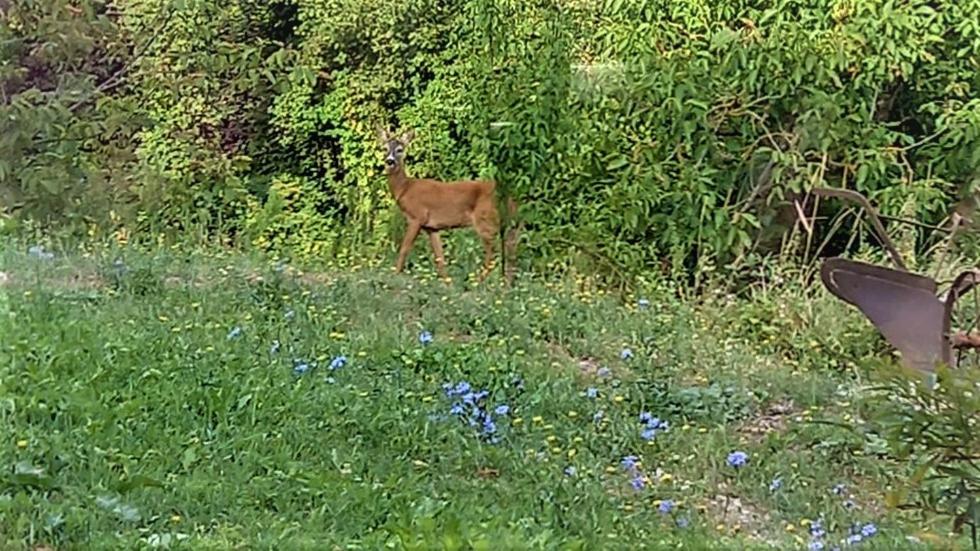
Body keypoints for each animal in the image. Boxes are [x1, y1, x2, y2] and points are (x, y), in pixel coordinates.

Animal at [378, 128, 520, 284]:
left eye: (400, 149)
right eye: (384, 148)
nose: (389, 161)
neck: (404, 189)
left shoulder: (417, 217)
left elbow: (404, 249)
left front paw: (394, 275)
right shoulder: (432, 227)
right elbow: (440, 258)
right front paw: (447, 283)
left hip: (485, 219)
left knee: (494, 255)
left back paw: (476, 282)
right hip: (508, 222)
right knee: (511, 250)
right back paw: (506, 284)